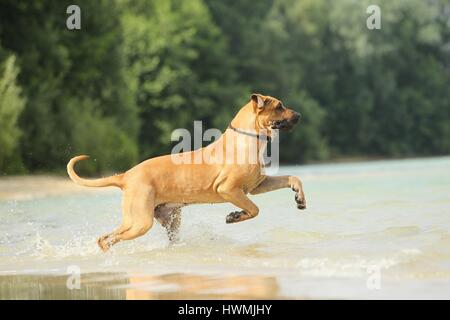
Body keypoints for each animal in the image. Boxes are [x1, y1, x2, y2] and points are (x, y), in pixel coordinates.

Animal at [67, 94, 306, 251]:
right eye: (279, 106)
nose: (299, 115)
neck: (248, 138)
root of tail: (126, 175)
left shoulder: (257, 185)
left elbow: (292, 177)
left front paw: (300, 198)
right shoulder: (228, 189)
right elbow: (254, 209)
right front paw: (235, 216)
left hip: (167, 220)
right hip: (139, 221)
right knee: (105, 238)